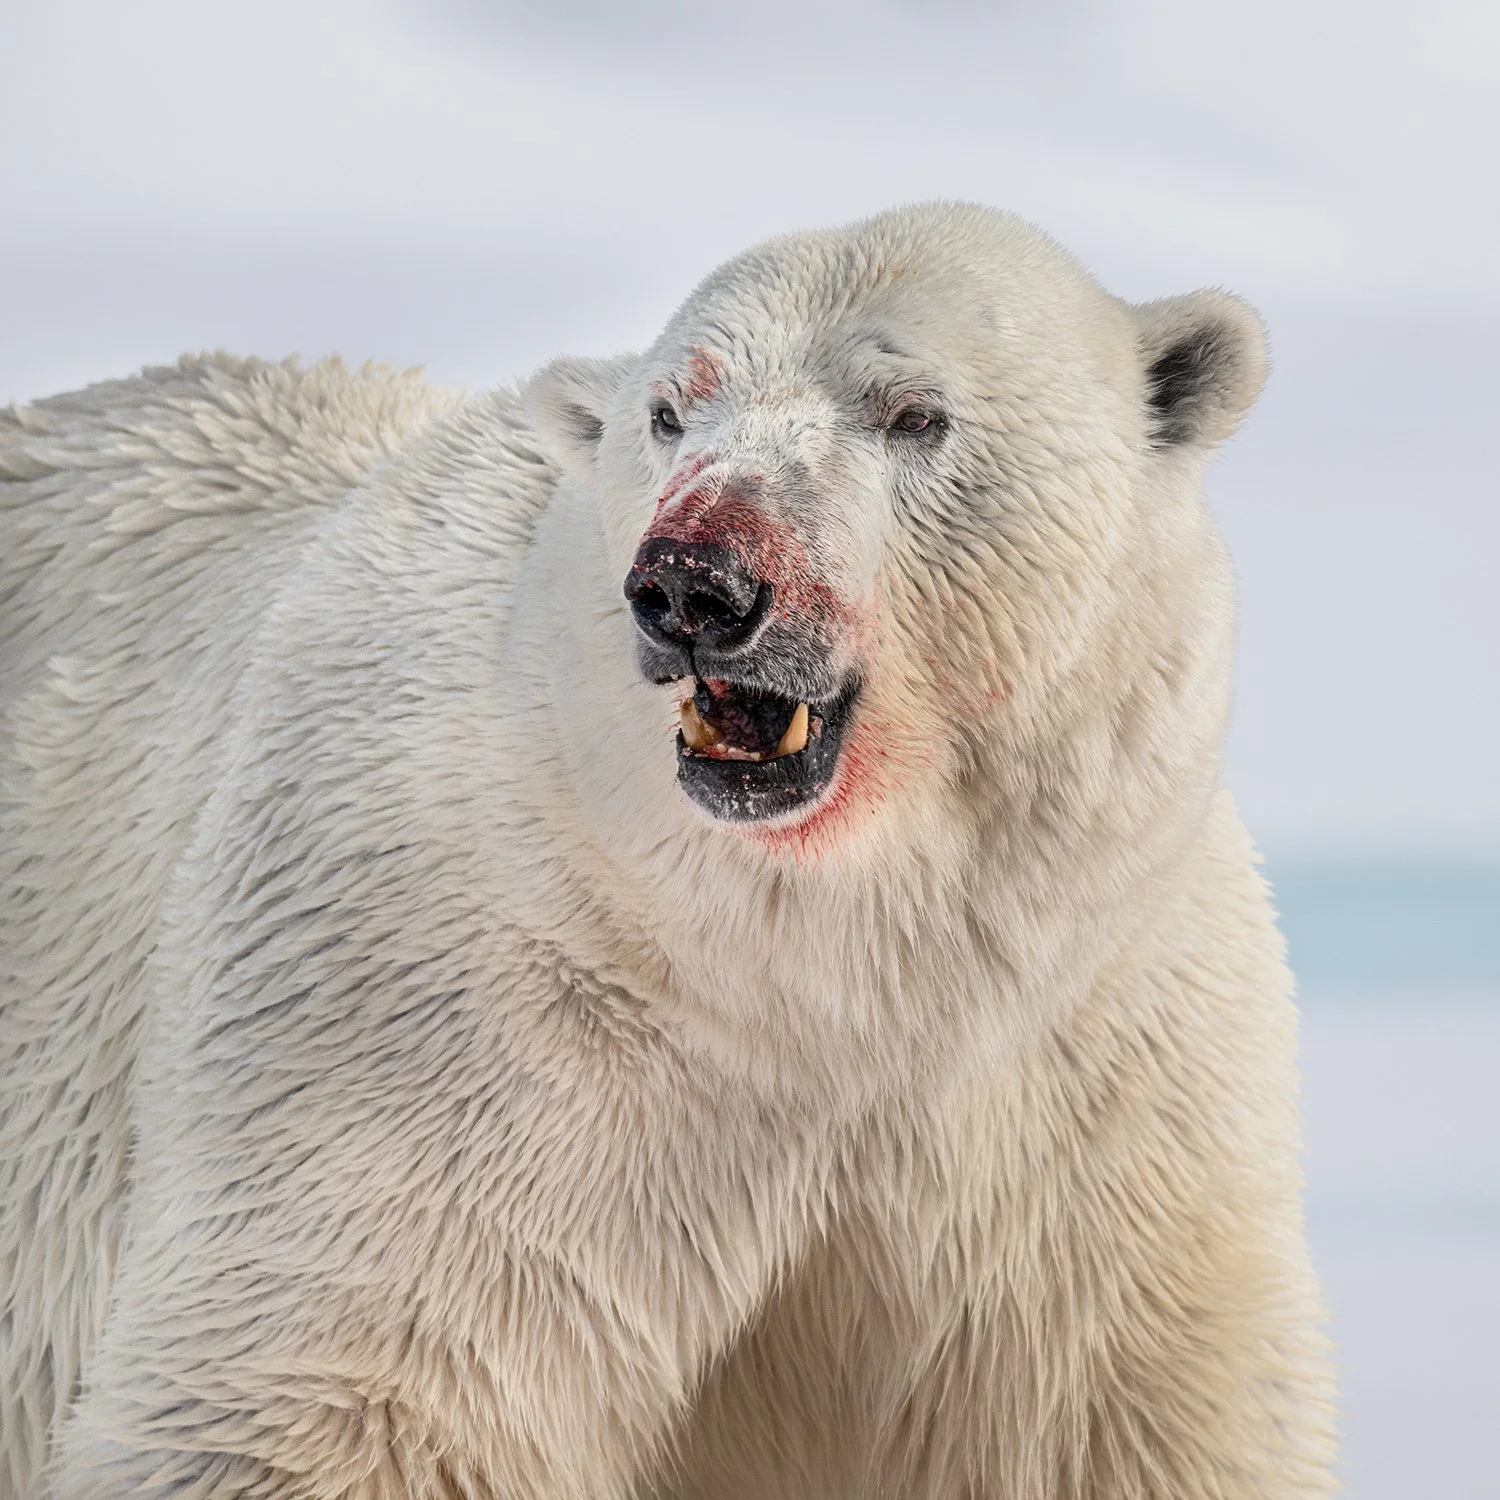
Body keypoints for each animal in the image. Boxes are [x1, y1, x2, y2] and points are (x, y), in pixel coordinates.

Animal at [0, 202, 1336, 1499]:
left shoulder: (1085, 1064)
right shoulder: (449, 1018)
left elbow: (1115, 1409)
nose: (698, 582)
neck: (820, 958)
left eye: (914, 411)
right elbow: (332, 1393)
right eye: (669, 409)